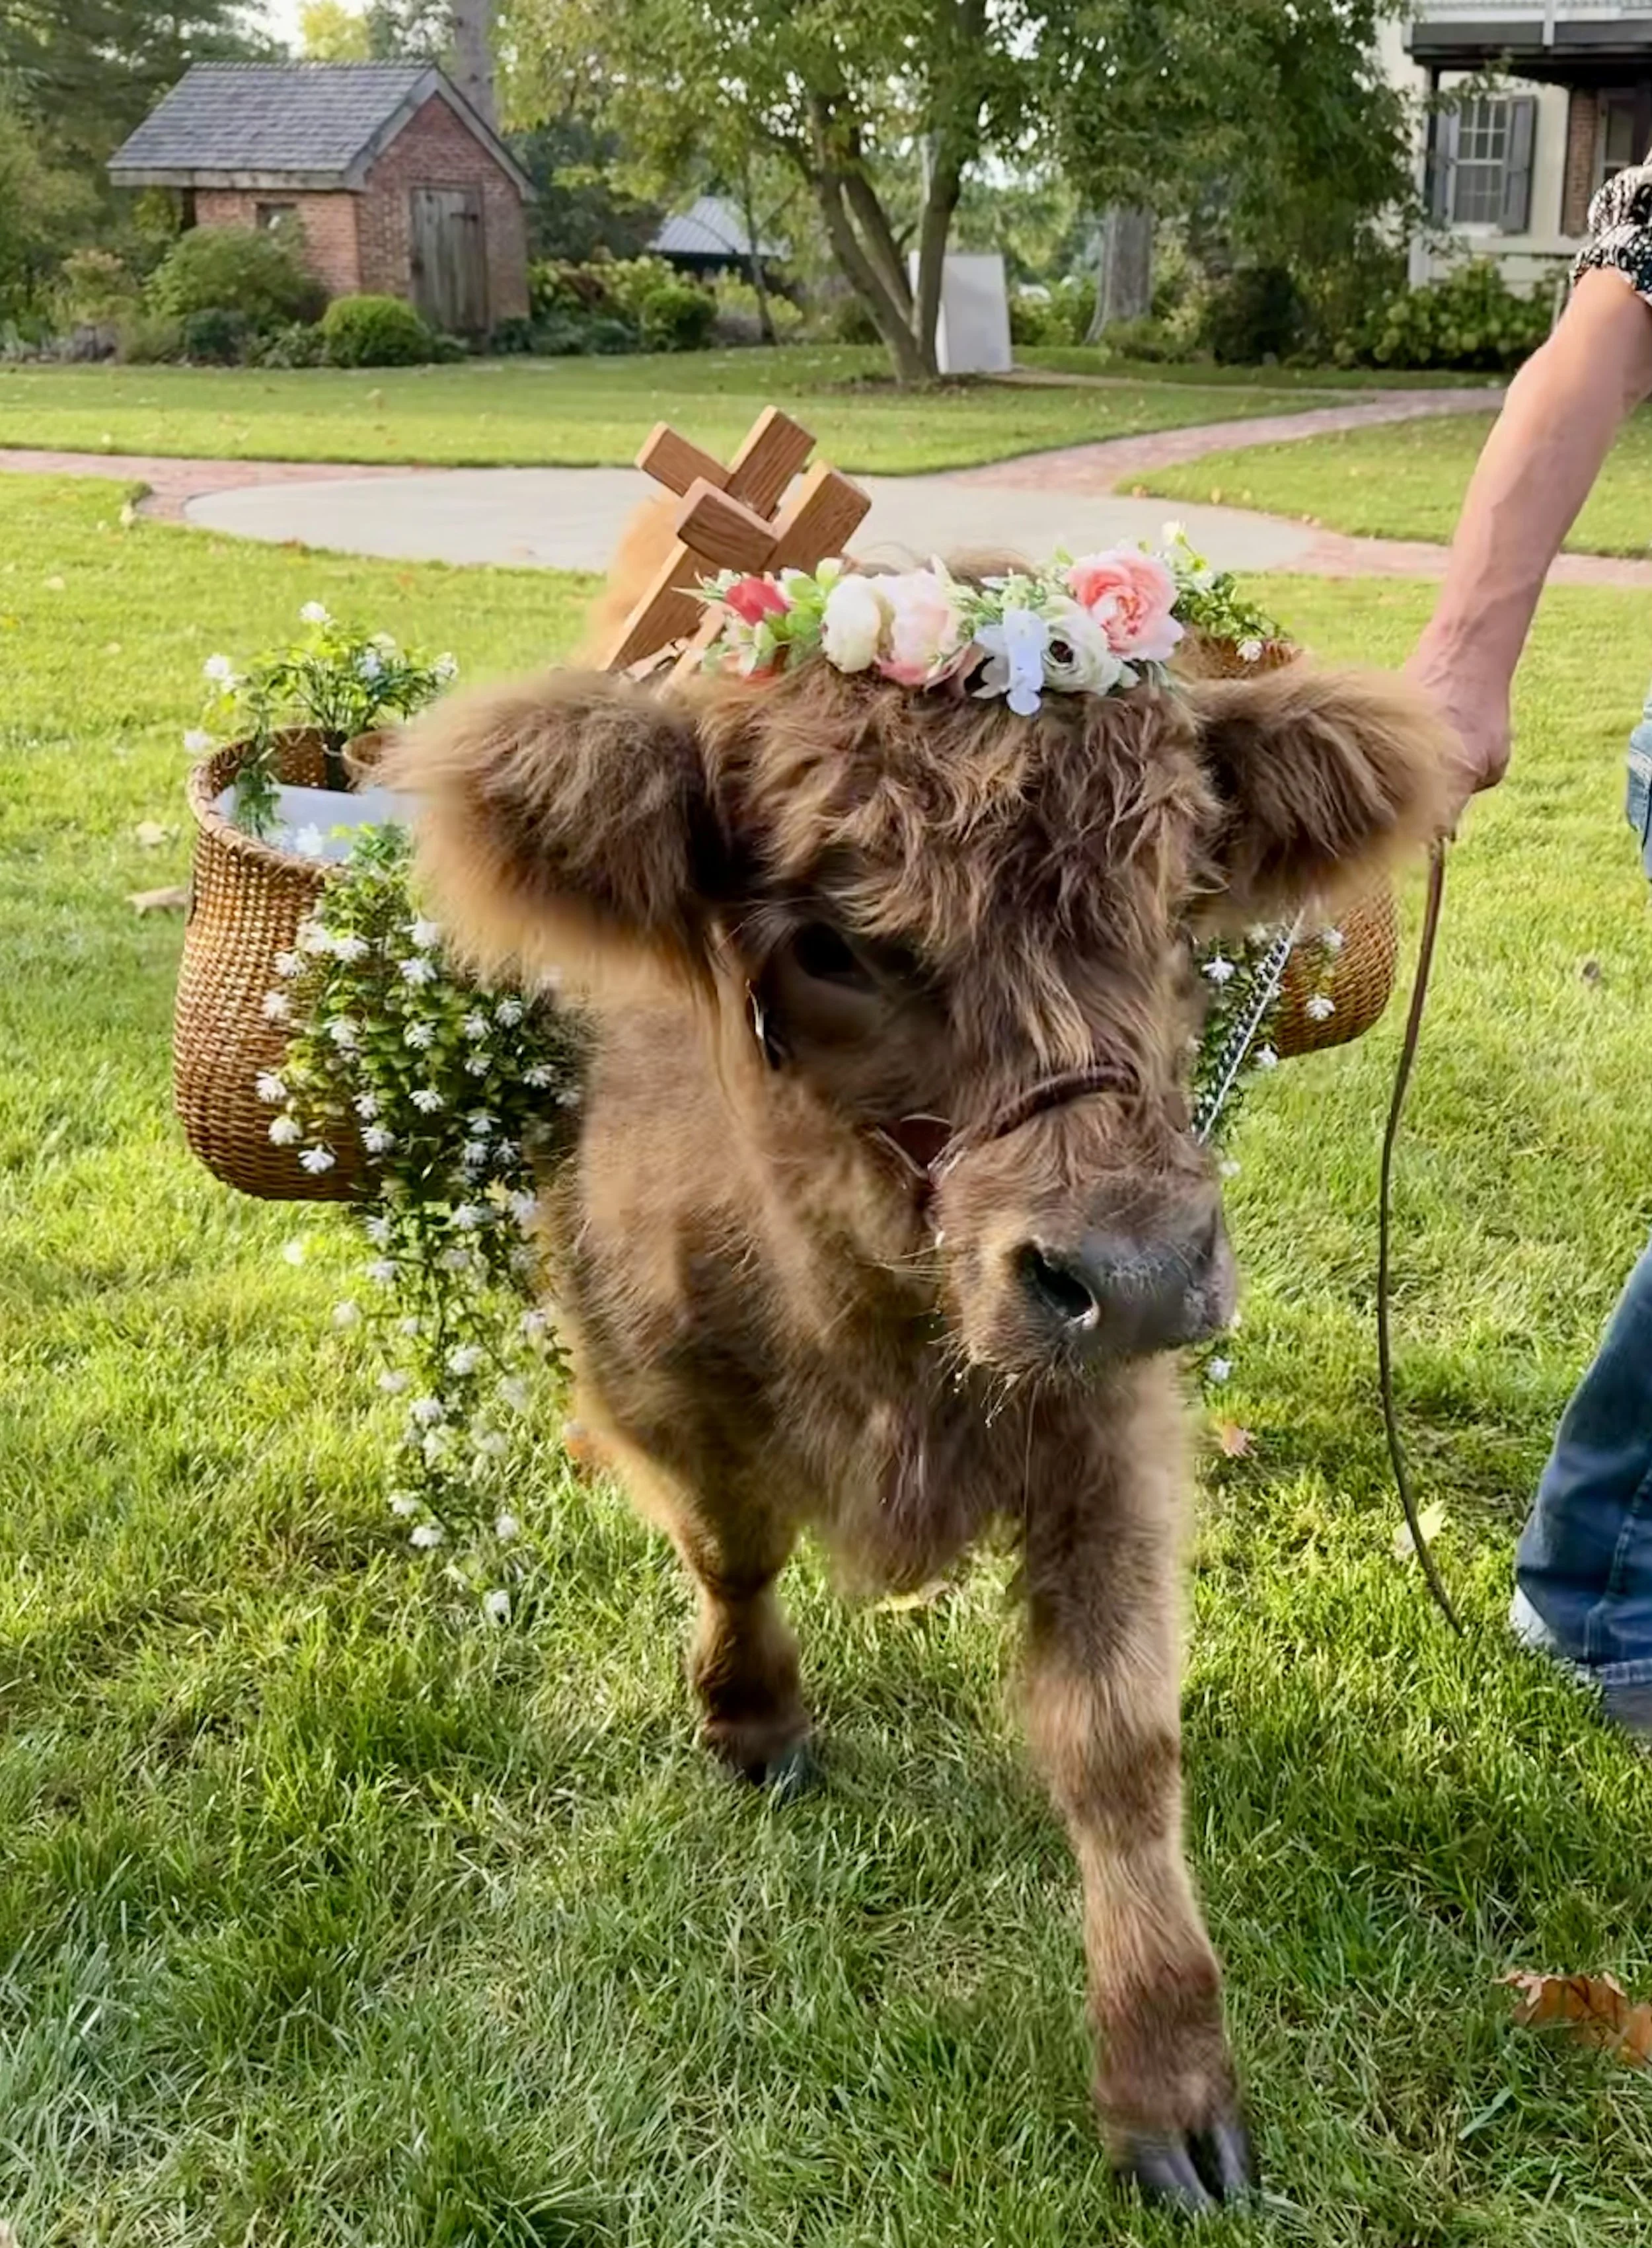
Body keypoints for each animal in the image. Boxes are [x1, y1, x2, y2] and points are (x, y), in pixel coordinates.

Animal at [387, 549, 1449, 2215]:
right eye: (831, 939)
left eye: (1179, 898)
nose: (1134, 1266)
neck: (879, 1343)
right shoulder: (659, 1392)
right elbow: (731, 1549)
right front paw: (753, 1718)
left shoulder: (1106, 1434)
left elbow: (1118, 1740)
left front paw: (1173, 2085)